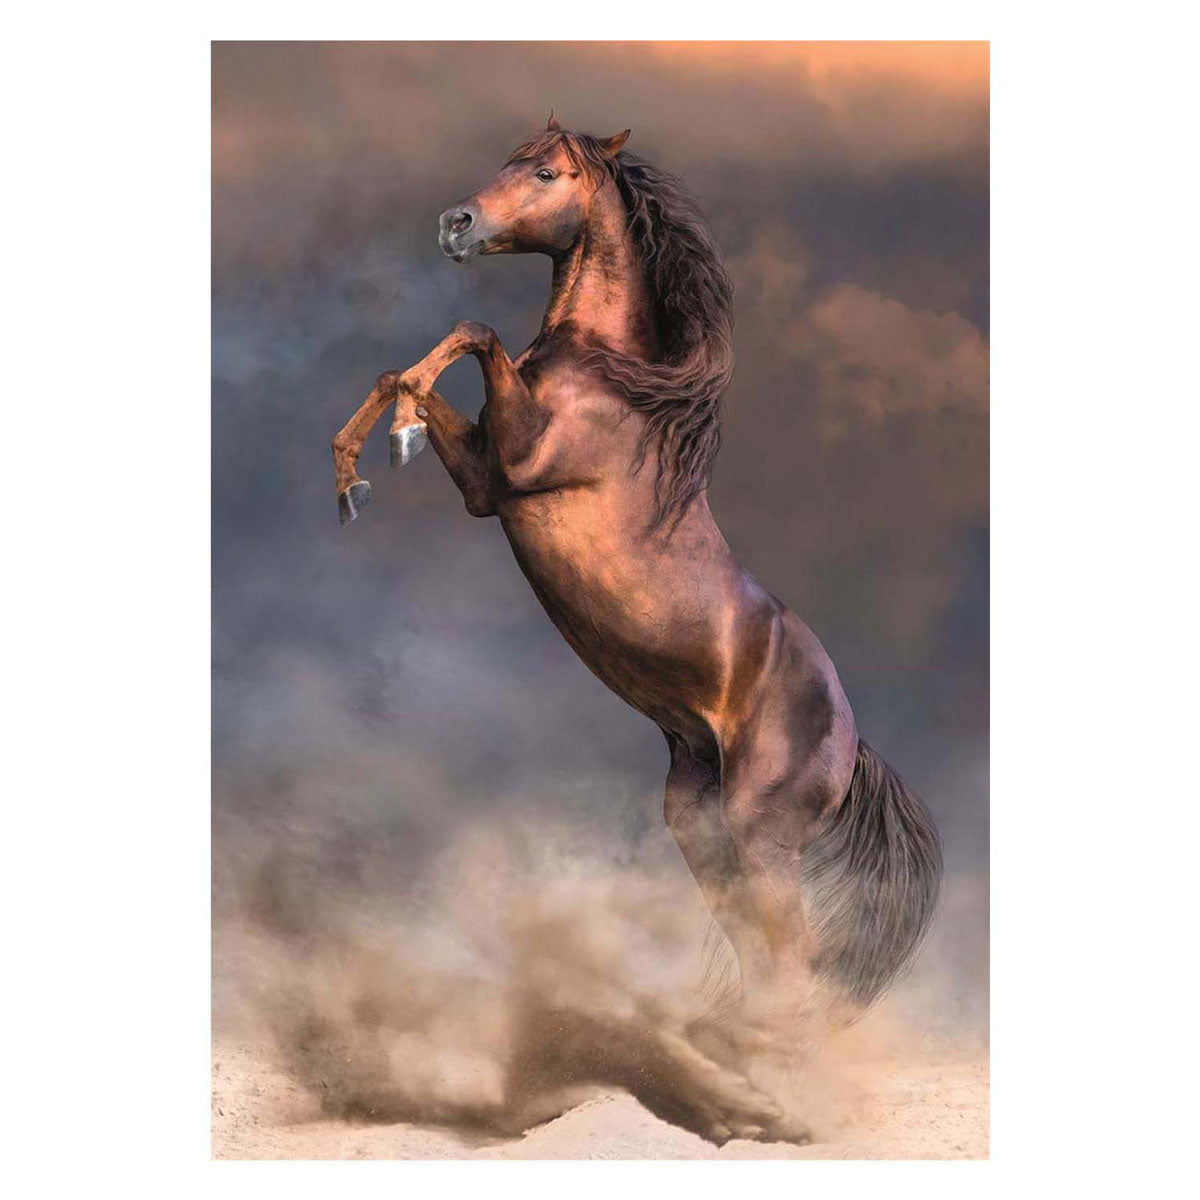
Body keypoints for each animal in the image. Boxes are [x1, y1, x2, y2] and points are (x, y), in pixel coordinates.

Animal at [330, 115, 942, 1144]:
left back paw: (771, 1095)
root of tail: (852, 741)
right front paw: (358, 471)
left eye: (544, 172)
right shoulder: (487, 482)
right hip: (701, 828)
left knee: (795, 959)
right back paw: (732, 1072)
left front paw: (392, 442)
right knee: (764, 957)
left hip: (760, 834)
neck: (608, 380)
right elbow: (407, 368)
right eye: (504, 161)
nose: (456, 224)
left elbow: (473, 331)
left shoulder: (517, 462)